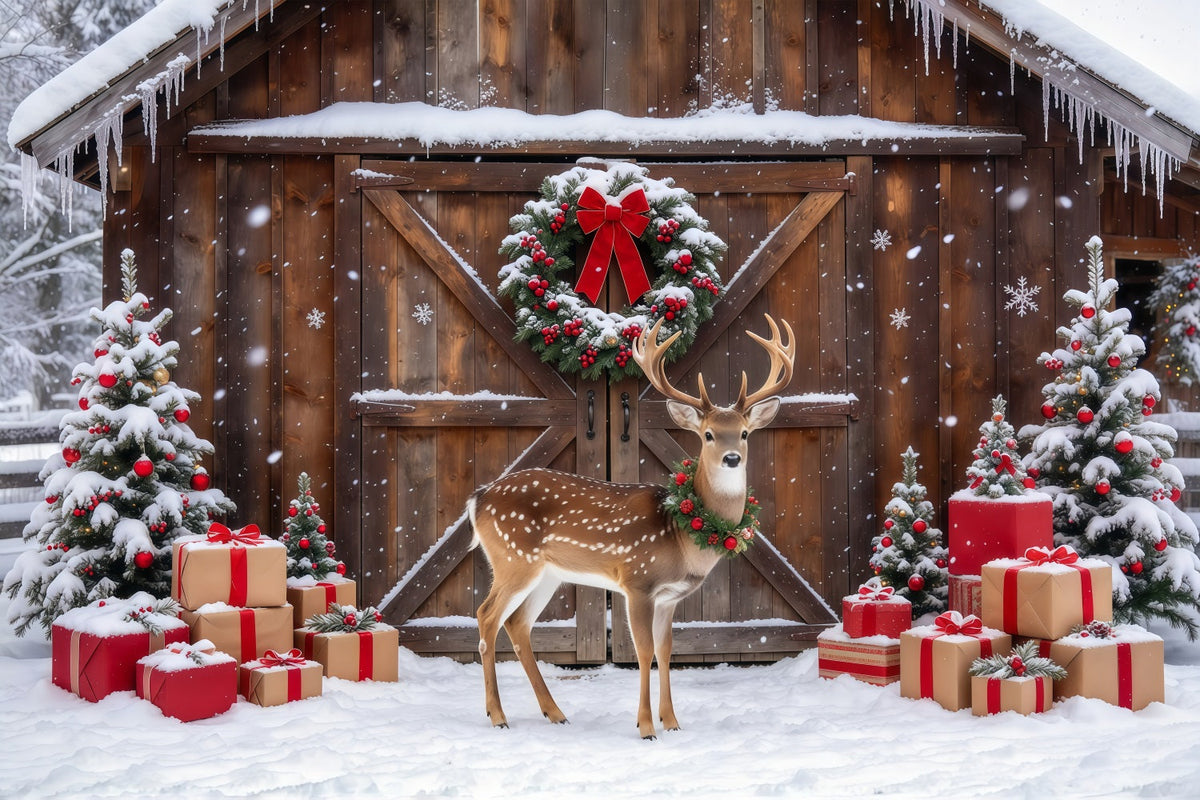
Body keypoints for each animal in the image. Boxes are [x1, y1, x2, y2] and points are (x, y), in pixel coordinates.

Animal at [467, 314, 795, 739]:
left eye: (743, 432)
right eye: (708, 434)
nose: (732, 458)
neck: (683, 534)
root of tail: (479, 498)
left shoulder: (670, 597)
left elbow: (666, 651)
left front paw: (672, 723)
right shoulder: (638, 581)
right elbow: (642, 651)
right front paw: (646, 727)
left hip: (547, 573)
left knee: (518, 623)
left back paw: (555, 713)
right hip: (512, 556)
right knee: (487, 616)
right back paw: (498, 715)